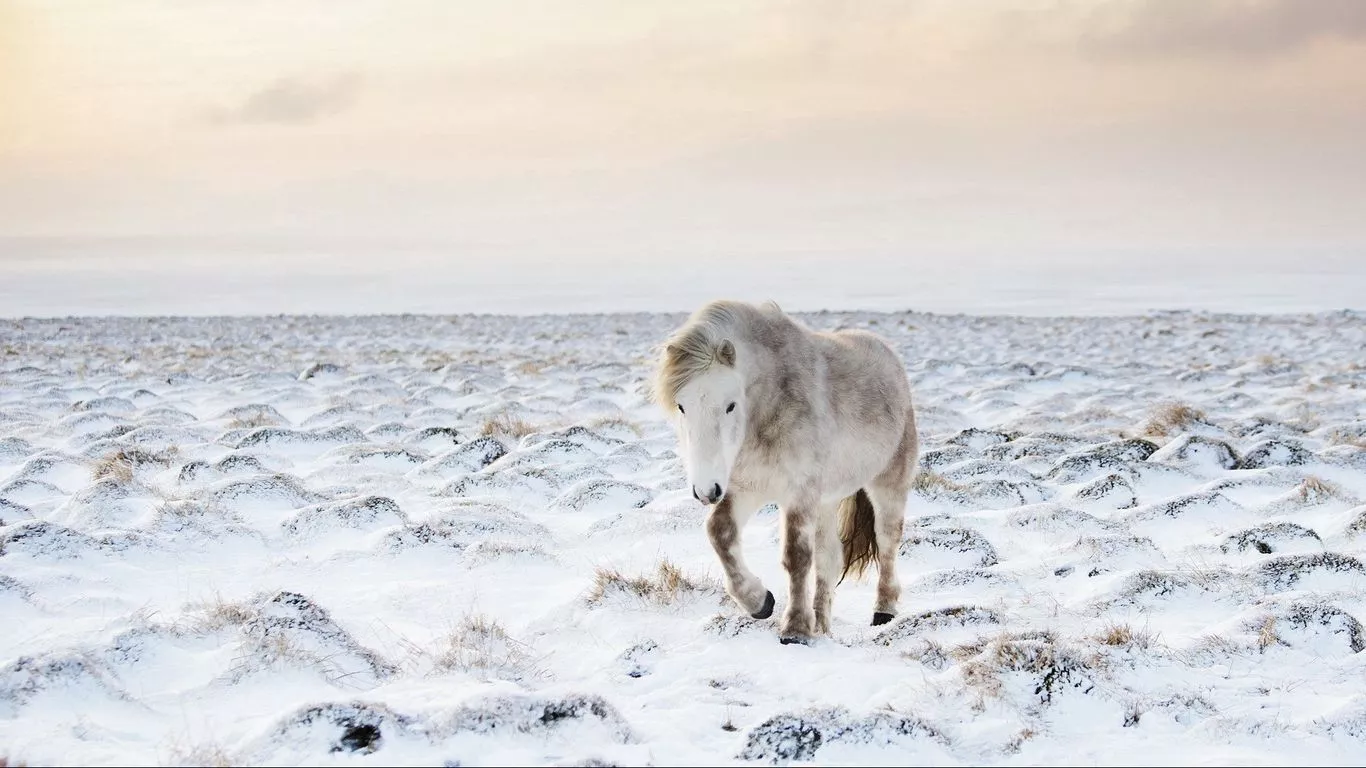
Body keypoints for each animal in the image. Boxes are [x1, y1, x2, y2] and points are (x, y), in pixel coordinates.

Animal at [652, 299, 919, 645]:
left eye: (730, 405)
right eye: (681, 406)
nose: (706, 491)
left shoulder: (798, 492)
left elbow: (797, 556)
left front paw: (795, 629)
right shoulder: (747, 488)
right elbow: (719, 533)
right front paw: (759, 601)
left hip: (888, 481)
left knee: (887, 542)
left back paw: (883, 612)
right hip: (826, 500)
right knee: (829, 557)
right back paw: (822, 625)